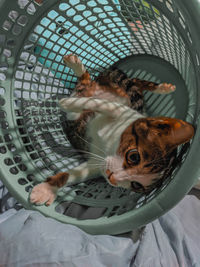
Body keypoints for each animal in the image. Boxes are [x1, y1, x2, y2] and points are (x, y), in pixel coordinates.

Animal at [29, 53, 194, 206]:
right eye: (134, 157)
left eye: (136, 184)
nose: (112, 178)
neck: (110, 144)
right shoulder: (120, 111)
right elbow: (93, 104)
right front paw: (67, 103)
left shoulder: (96, 163)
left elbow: (75, 173)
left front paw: (47, 189)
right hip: (120, 88)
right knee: (118, 82)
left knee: (98, 84)